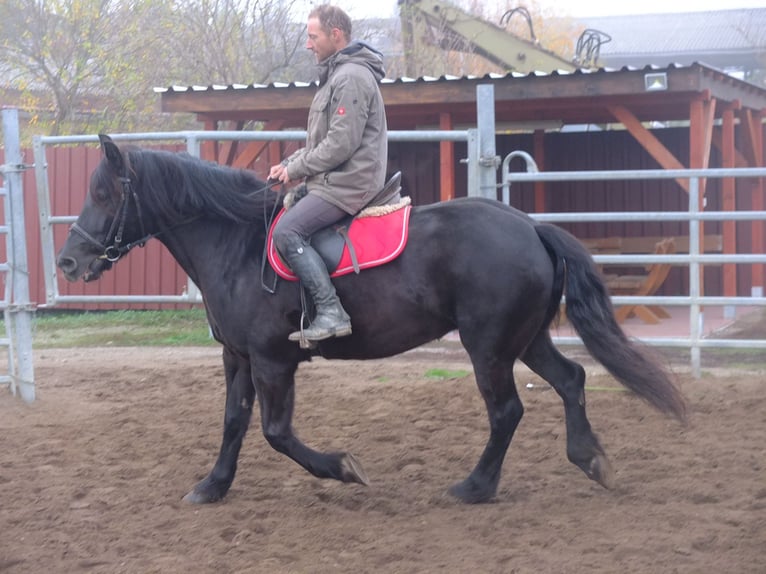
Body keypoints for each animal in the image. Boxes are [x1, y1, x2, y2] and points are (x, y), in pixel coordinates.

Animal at [57, 137, 688, 506]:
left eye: (104, 193)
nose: (68, 262)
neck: (237, 244)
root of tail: (531, 226)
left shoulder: (273, 360)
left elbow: (276, 432)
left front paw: (343, 468)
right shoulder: (236, 357)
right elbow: (234, 423)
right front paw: (212, 486)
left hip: (488, 345)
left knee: (508, 410)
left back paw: (475, 487)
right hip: (525, 337)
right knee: (570, 380)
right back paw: (591, 460)